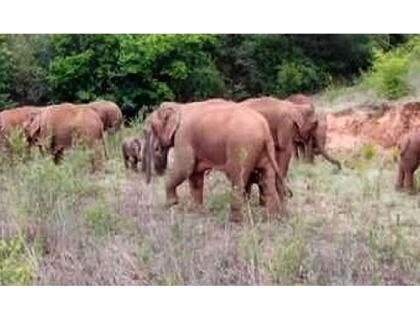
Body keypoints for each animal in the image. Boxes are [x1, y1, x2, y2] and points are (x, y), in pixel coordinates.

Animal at [144, 101, 286, 222]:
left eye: (151, 127)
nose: (157, 149)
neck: (179, 107)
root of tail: (264, 129)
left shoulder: (184, 136)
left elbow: (184, 167)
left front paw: (171, 204)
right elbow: (195, 175)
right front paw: (197, 211)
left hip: (242, 146)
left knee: (238, 179)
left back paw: (234, 221)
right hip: (264, 150)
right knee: (267, 179)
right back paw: (274, 218)